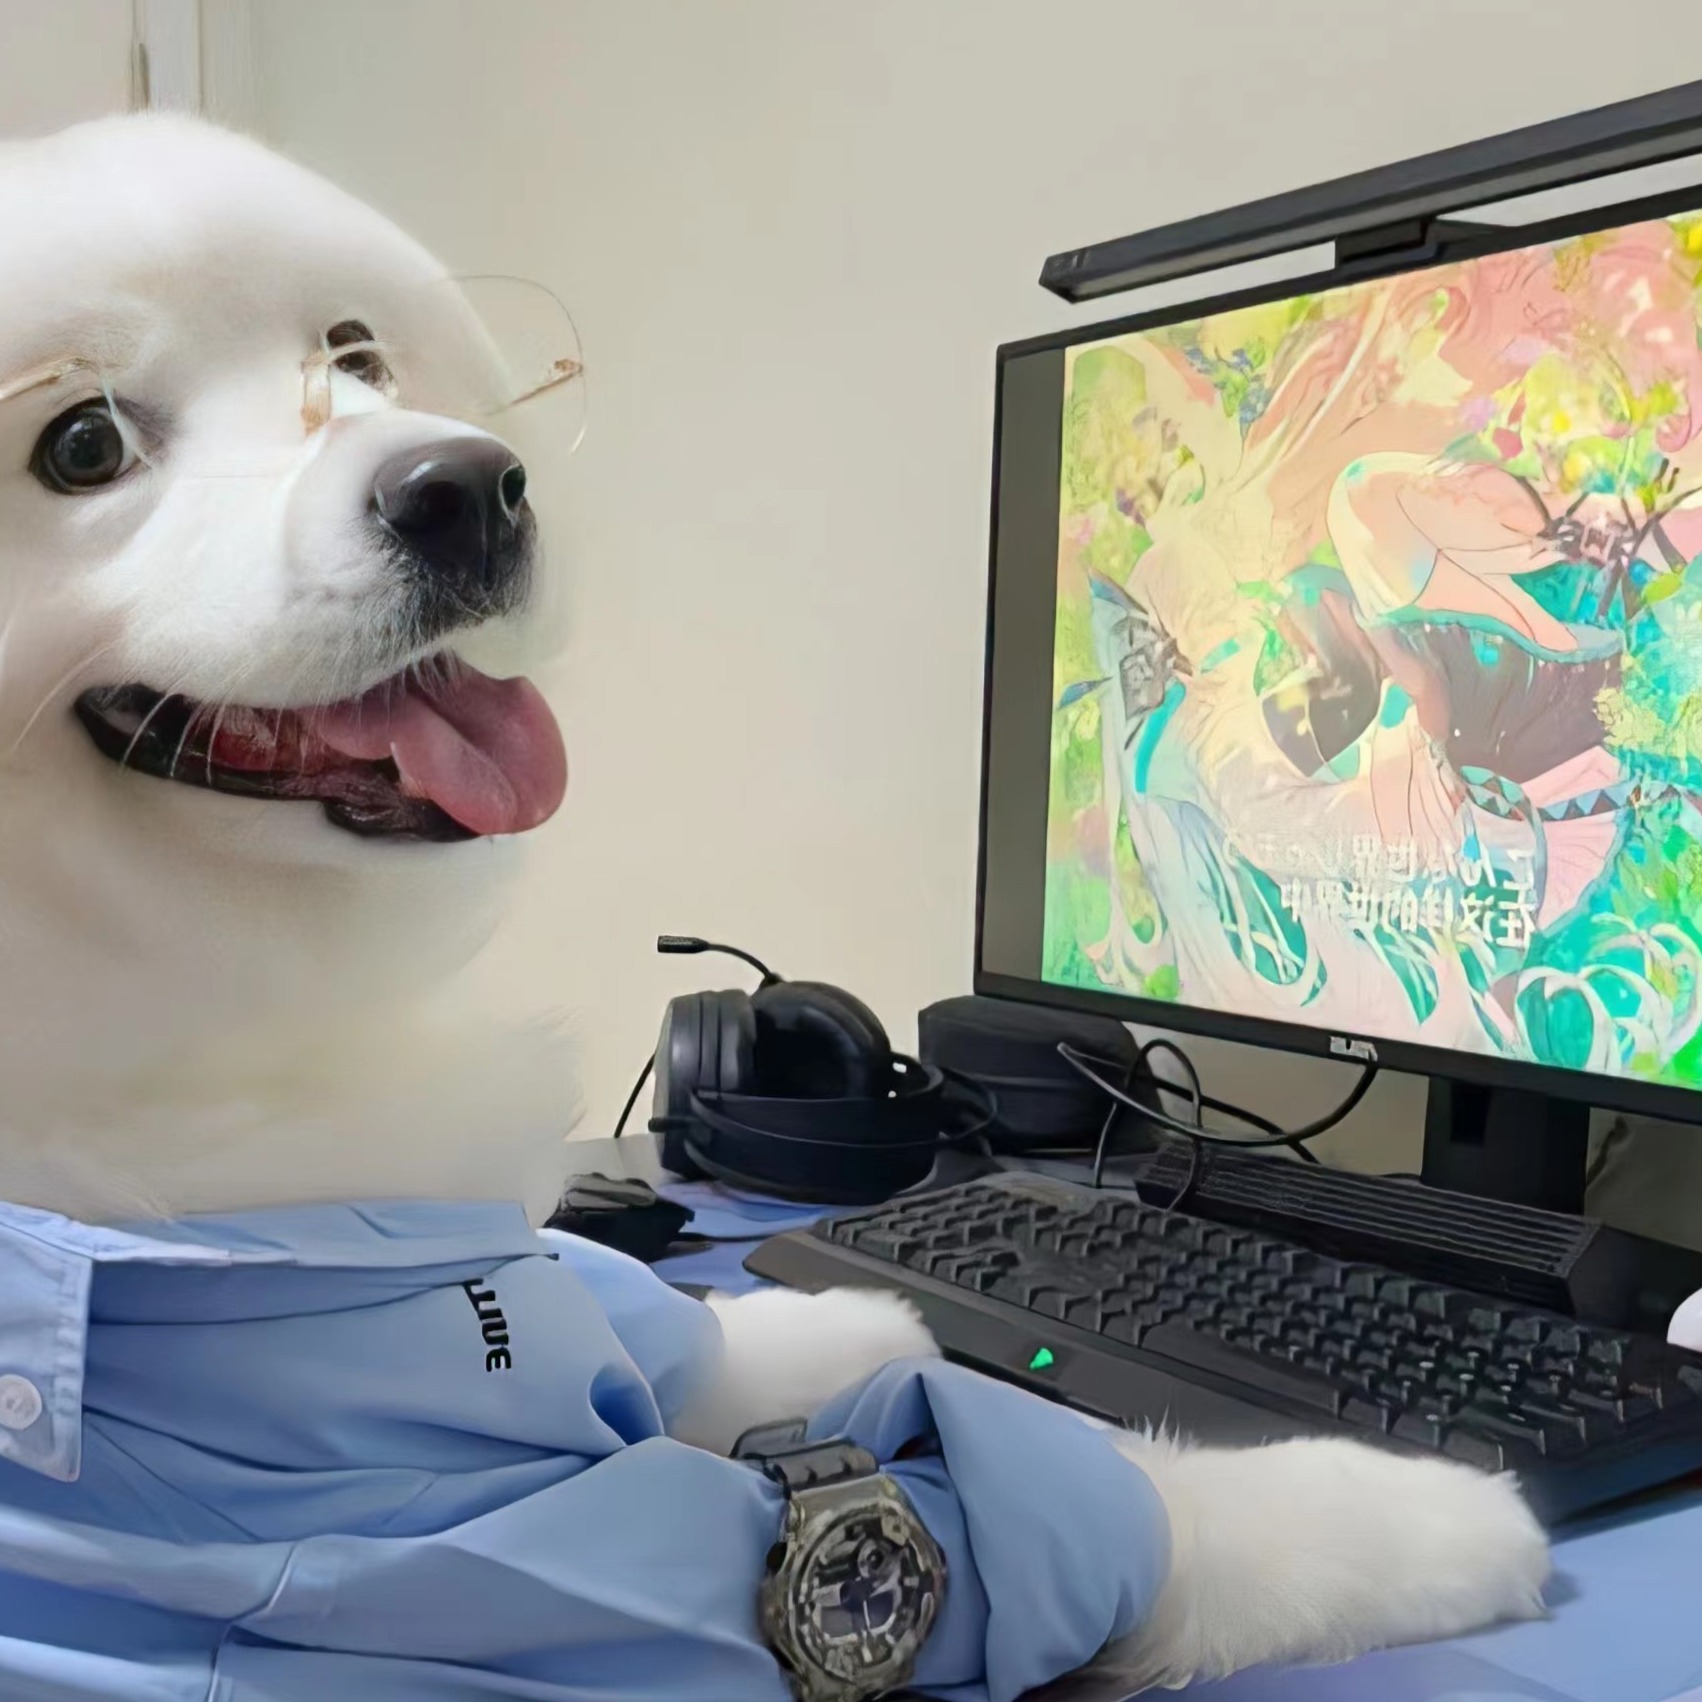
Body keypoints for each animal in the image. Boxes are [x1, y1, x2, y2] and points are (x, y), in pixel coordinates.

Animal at [0, 113, 1548, 1694]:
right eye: (83, 444)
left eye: (355, 356)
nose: (470, 486)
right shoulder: (507, 1569)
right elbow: (1145, 1516)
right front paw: (1444, 1509)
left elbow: (654, 1324)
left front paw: (844, 1316)